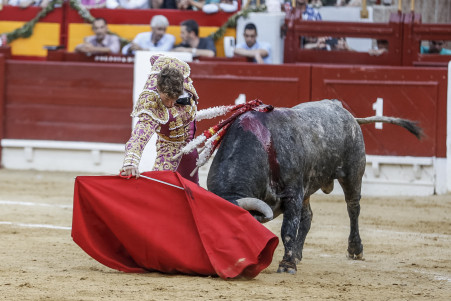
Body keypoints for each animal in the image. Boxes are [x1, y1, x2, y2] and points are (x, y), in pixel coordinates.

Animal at [207, 99, 424, 274]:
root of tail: (343, 110)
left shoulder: (292, 195)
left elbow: (287, 230)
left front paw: (286, 266)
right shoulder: (297, 194)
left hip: (353, 174)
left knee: (353, 207)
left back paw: (355, 249)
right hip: (308, 187)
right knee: (308, 217)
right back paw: (298, 254)